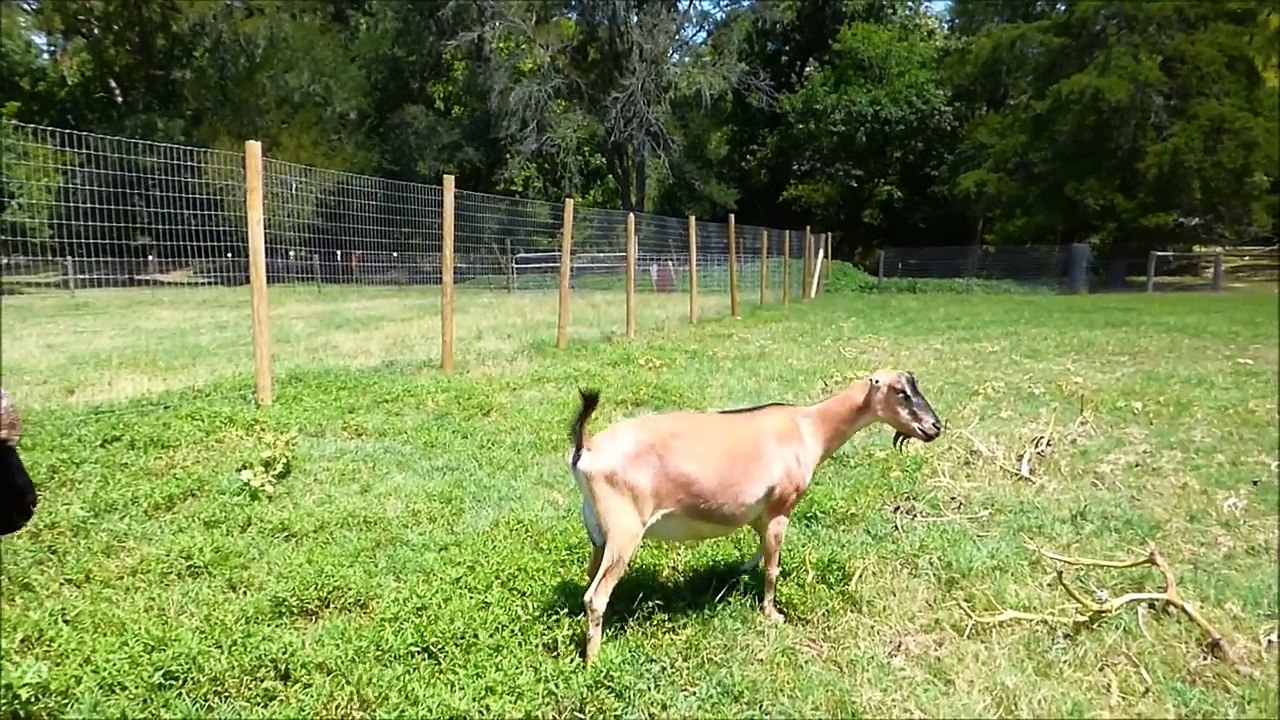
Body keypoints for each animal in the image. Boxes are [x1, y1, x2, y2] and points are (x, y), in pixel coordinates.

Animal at [566, 369, 942, 663]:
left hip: (597, 527)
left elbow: (760, 550)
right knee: (596, 596)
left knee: (590, 580)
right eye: (901, 392)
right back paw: (594, 659)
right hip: (626, 529)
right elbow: (773, 565)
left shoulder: (761, 514)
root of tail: (587, 449)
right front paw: (772, 613)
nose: (934, 427)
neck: (809, 428)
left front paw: (741, 571)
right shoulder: (780, 507)